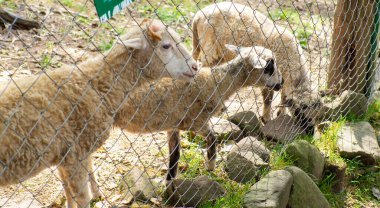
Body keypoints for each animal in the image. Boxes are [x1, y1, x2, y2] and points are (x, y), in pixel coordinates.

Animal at [0, 19, 200, 208]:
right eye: (165, 46)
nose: (195, 67)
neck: (97, 85)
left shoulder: (63, 157)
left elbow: (67, 191)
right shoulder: (75, 154)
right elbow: (82, 198)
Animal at [110, 45, 282, 184]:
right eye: (269, 67)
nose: (282, 83)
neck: (216, 82)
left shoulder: (173, 124)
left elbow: (175, 154)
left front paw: (169, 180)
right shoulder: (196, 122)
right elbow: (212, 139)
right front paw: (210, 166)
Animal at [191, 1, 320, 122]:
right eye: (300, 114)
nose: (309, 132)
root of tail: (199, 14)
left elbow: (283, 95)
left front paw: (281, 113)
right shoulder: (269, 74)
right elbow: (268, 98)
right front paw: (266, 118)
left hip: (200, 45)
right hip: (209, 50)